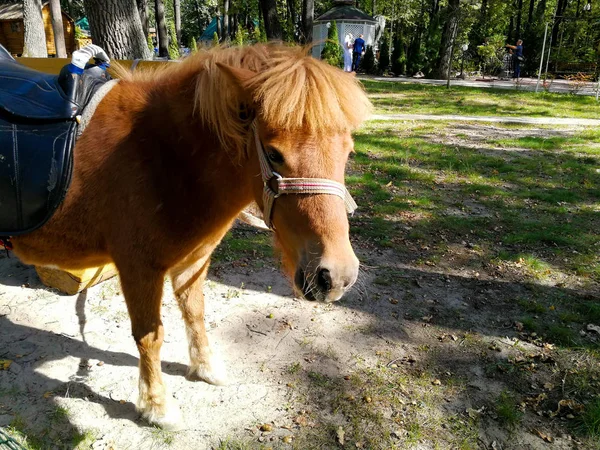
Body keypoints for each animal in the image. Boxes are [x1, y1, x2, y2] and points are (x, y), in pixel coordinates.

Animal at [10, 44, 370, 430]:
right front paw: (156, 405)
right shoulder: (138, 269)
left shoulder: (194, 260)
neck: (161, 158)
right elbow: (149, 336)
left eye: (348, 152)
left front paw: (205, 367)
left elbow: (195, 314)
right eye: (275, 154)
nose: (336, 276)